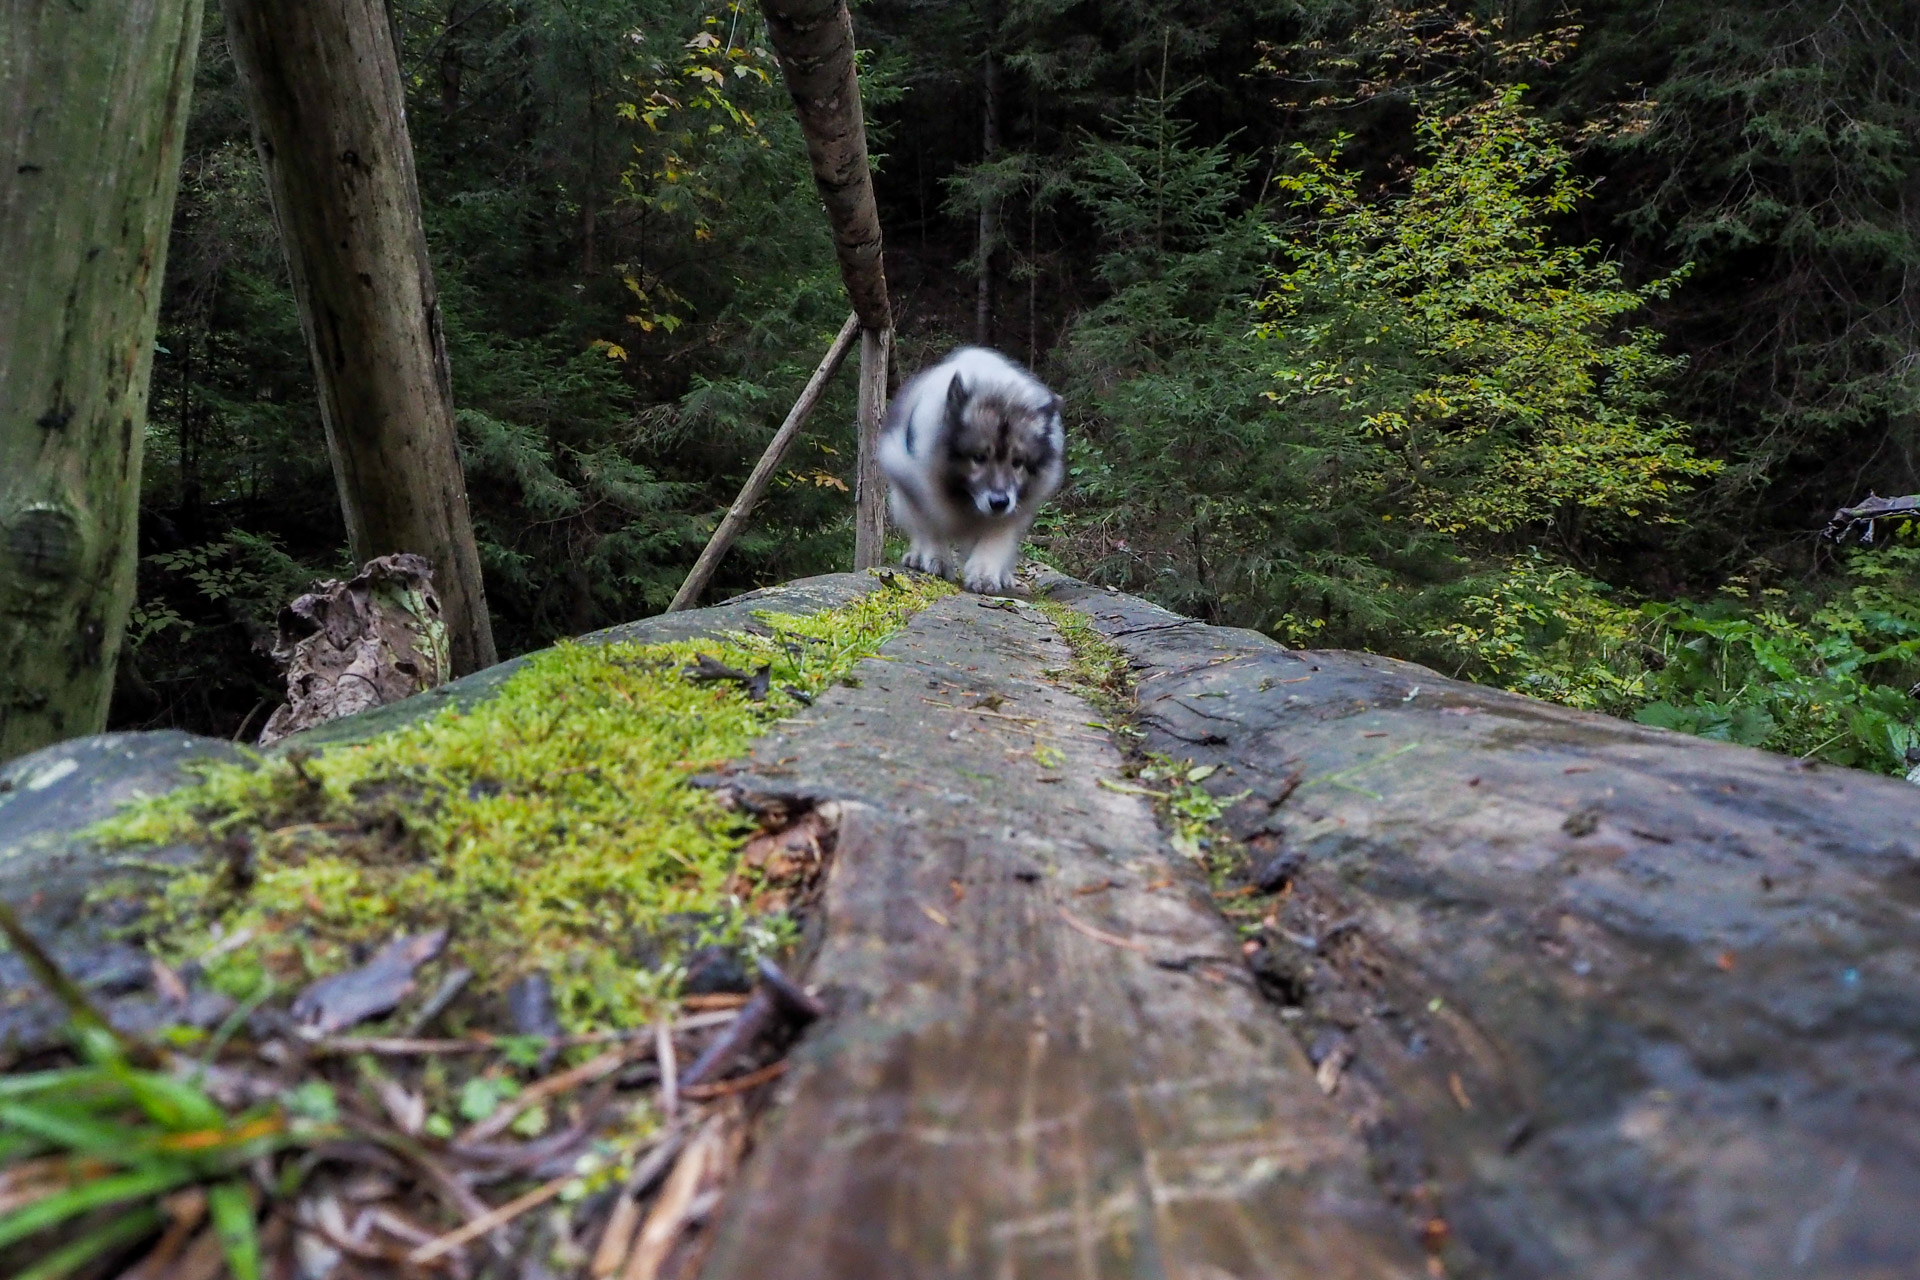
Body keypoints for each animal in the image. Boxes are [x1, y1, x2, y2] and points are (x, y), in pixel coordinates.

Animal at [879, 347, 1067, 594]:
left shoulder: (1010, 513)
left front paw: (984, 575)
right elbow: (930, 526)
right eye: (978, 458)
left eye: (1017, 462)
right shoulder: (916, 488)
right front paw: (937, 560)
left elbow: (994, 542)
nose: (999, 502)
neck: (965, 498)